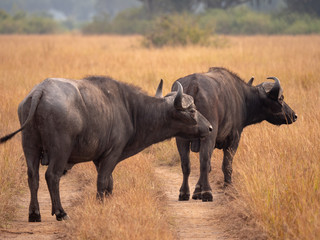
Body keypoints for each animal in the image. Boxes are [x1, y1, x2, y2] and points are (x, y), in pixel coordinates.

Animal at [1, 76, 215, 221]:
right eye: (192, 110)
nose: (210, 128)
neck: (130, 110)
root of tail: (40, 91)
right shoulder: (111, 154)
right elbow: (103, 180)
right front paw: (100, 203)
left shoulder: (100, 158)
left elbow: (109, 182)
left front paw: (109, 199)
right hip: (60, 150)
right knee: (52, 176)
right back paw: (60, 212)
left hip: (29, 146)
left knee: (33, 177)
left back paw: (34, 213)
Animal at [172, 66, 298, 202]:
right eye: (281, 98)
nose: (294, 115)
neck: (243, 98)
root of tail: (193, 85)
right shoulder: (234, 140)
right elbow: (226, 165)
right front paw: (228, 186)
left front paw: (197, 191)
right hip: (208, 136)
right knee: (204, 161)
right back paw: (207, 193)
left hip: (181, 139)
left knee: (186, 164)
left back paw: (184, 193)